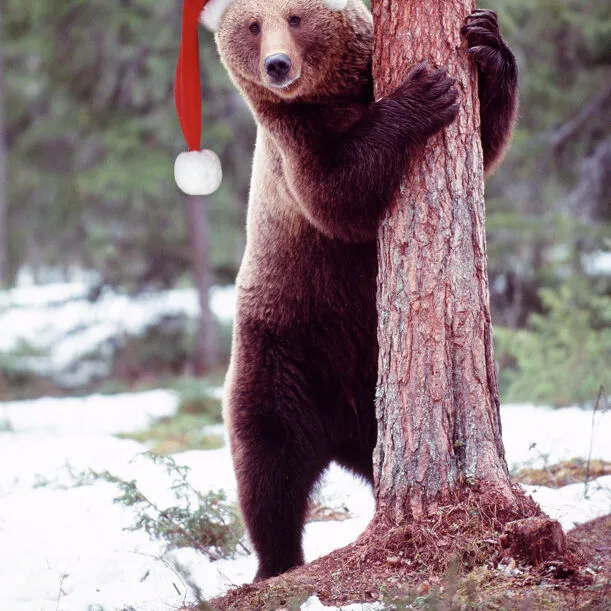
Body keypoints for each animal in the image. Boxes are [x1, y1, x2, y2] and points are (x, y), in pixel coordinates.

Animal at [208, 0, 520, 580]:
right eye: (253, 25)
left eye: (295, 17)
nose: (278, 66)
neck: (336, 93)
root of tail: (339, 431)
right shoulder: (294, 137)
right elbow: (337, 192)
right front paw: (423, 93)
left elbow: (486, 144)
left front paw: (487, 42)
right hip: (283, 348)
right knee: (268, 463)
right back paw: (276, 562)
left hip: (369, 375)